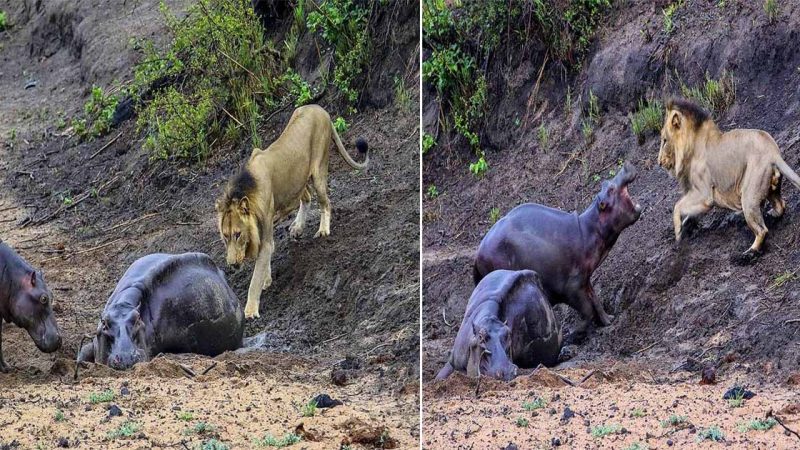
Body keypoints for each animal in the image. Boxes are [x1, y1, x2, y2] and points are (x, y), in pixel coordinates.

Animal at [217, 103, 370, 318]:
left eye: (238, 234)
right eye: (225, 236)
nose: (231, 264)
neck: (246, 190)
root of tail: (319, 108)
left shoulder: (265, 235)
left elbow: (255, 278)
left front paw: (251, 310)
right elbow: (266, 260)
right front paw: (267, 279)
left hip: (318, 170)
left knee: (325, 202)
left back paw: (323, 230)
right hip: (299, 178)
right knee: (306, 197)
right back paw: (297, 227)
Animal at [476, 162, 644, 338]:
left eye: (605, 184)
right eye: (610, 188)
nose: (625, 166)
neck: (590, 229)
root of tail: (478, 253)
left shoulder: (584, 279)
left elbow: (595, 300)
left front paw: (608, 320)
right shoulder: (571, 286)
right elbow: (587, 309)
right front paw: (574, 332)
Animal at [656, 98, 800, 256]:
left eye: (664, 140)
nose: (659, 162)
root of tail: (773, 153)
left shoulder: (704, 194)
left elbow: (677, 206)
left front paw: (678, 232)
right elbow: (688, 212)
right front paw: (687, 225)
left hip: (749, 195)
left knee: (762, 230)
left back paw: (748, 253)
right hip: (769, 189)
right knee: (781, 206)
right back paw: (771, 215)